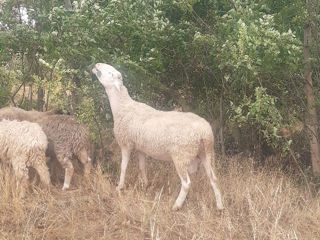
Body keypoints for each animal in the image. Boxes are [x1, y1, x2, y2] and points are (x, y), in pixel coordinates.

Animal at [91, 62, 224, 211]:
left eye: (110, 73)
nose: (97, 64)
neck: (123, 106)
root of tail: (205, 131)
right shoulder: (140, 148)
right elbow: (142, 167)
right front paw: (145, 184)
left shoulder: (126, 143)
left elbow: (123, 167)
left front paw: (120, 187)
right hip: (206, 153)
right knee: (214, 179)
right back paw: (220, 206)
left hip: (181, 155)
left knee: (186, 183)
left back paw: (176, 205)